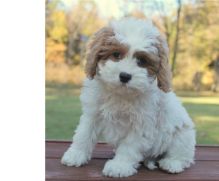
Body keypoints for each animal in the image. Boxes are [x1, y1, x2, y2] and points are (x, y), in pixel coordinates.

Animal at [60, 18, 196, 177]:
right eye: (116, 54)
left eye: (142, 61)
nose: (125, 76)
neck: (121, 94)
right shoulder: (93, 114)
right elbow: (84, 134)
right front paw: (76, 154)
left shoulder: (141, 123)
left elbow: (129, 146)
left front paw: (119, 165)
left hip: (183, 135)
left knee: (183, 155)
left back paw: (172, 163)